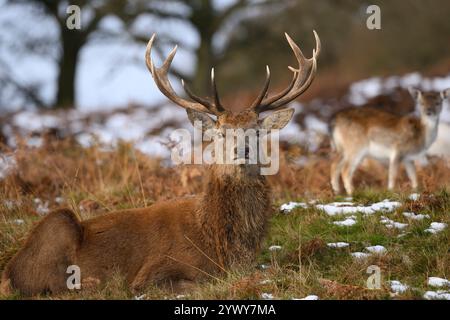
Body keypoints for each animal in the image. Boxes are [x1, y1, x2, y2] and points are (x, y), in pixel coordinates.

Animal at [1, 31, 322, 296]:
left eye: (256, 130)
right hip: (58, 224)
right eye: (221, 132)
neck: (221, 246)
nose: (240, 150)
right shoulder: (154, 272)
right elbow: (197, 283)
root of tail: (10, 269)